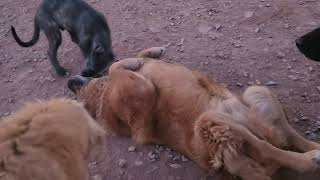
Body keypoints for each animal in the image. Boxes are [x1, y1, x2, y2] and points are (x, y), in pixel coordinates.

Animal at [68, 47, 320, 179]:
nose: (71, 82)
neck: (100, 95)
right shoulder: (142, 99)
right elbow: (114, 67)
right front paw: (135, 61)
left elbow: (124, 62)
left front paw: (151, 53)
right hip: (209, 123)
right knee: (268, 148)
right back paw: (311, 159)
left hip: (256, 92)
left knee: (287, 135)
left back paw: (313, 147)